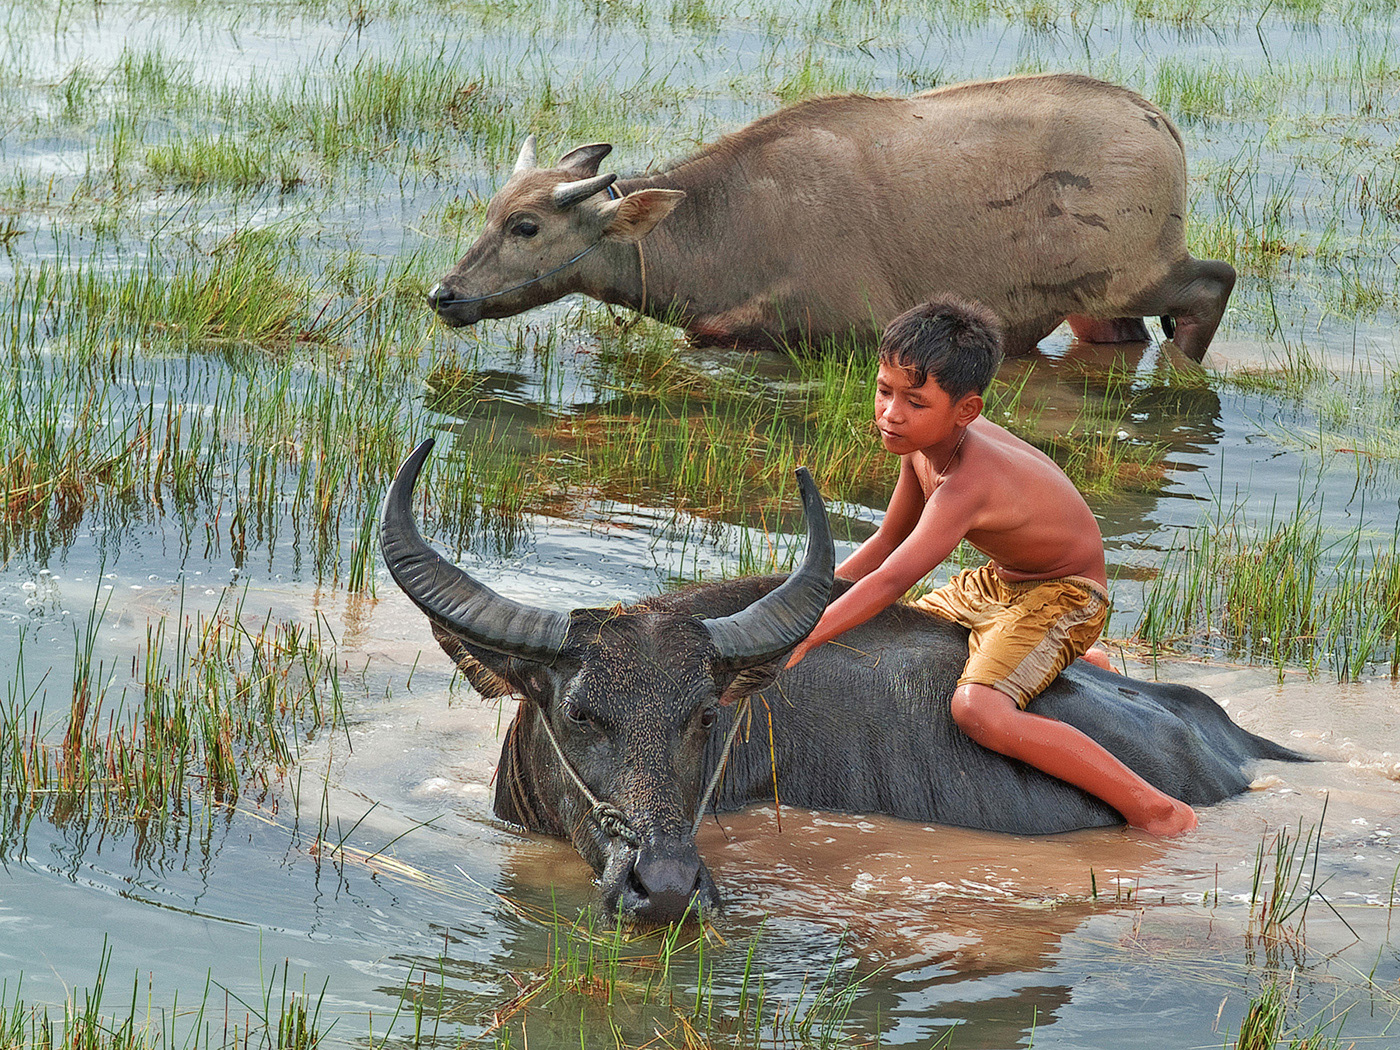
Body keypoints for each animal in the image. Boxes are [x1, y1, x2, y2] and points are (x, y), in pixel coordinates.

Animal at [425, 74, 1237, 361]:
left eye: (526, 227)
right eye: (491, 214)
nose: (444, 294)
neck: (727, 225)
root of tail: (1158, 123)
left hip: (1134, 276)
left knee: (1212, 284)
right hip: (1093, 309)